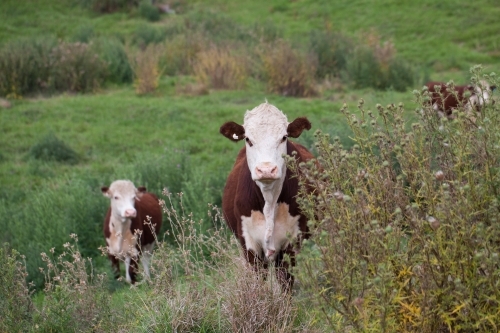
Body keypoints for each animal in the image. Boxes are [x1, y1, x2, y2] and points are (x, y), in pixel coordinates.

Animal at [219, 102, 312, 290]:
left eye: (283, 137)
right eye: (248, 139)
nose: (266, 170)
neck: (269, 200)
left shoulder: (290, 244)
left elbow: (285, 282)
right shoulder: (249, 244)